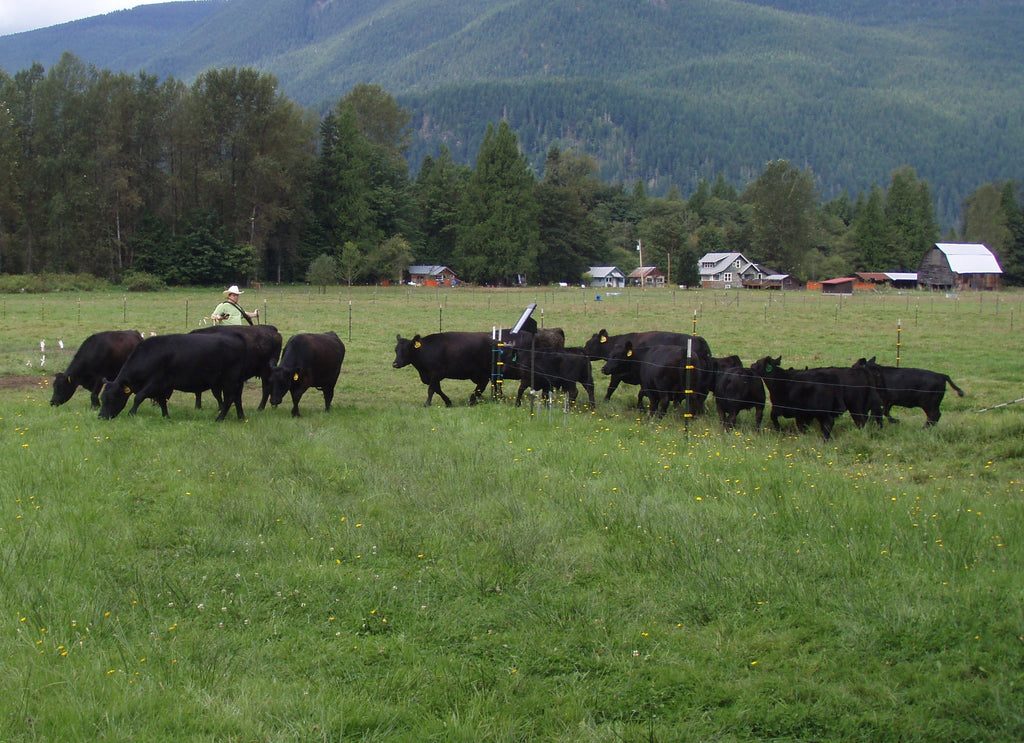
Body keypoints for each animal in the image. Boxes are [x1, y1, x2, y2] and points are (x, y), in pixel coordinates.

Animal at [98, 335, 247, 421]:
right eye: (102, 398)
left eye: (111, 398)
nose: (100, 416)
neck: (149, 355)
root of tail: (238, 341)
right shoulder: (162, 387)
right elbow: (162, 401)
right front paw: (166, 416)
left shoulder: (155, 382)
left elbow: (139, 397)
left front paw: (131, 413)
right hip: (234, 382)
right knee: (236, 398)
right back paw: (241, 417)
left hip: (229, 380)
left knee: (229, 398)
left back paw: (220, 418)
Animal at [581, 329, 716, 413]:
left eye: (588, 344)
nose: (583, 352)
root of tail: (699, 340)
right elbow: (641, 393)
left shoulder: (617, 375)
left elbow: (611, 389)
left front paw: (605, 402)